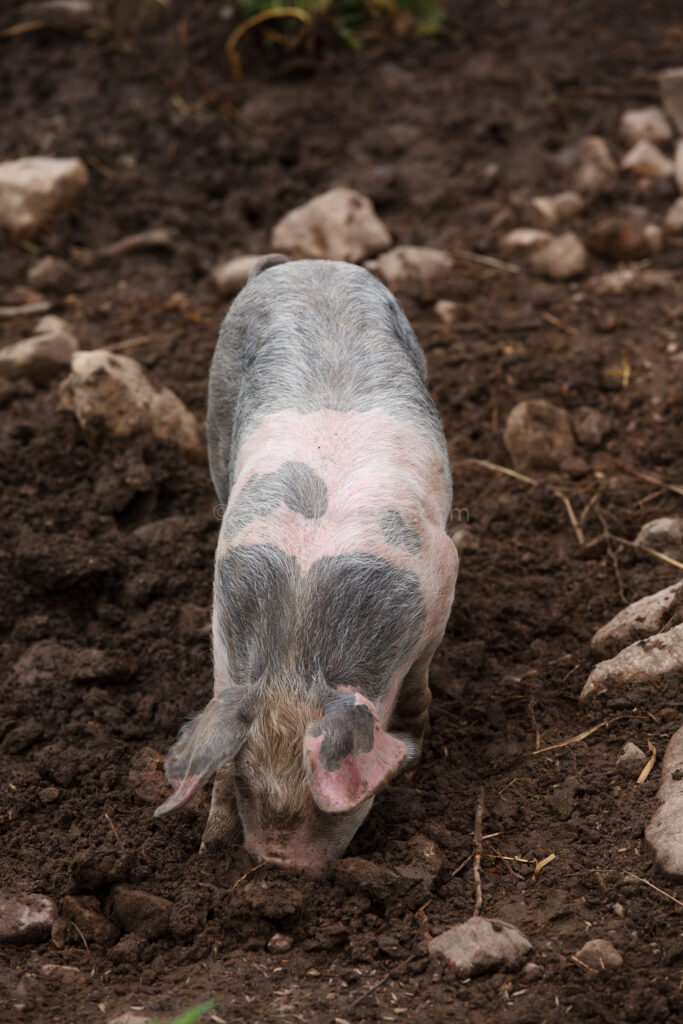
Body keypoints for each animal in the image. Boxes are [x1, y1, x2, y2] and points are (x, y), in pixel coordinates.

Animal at [154, 253, 458, 872]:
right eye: (247, 782)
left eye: (331, 804)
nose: (278, 865)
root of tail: (304, 263)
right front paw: (209, 843)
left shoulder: (443, 575)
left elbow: (419, 680)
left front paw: (419, 735)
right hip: (217, 402)